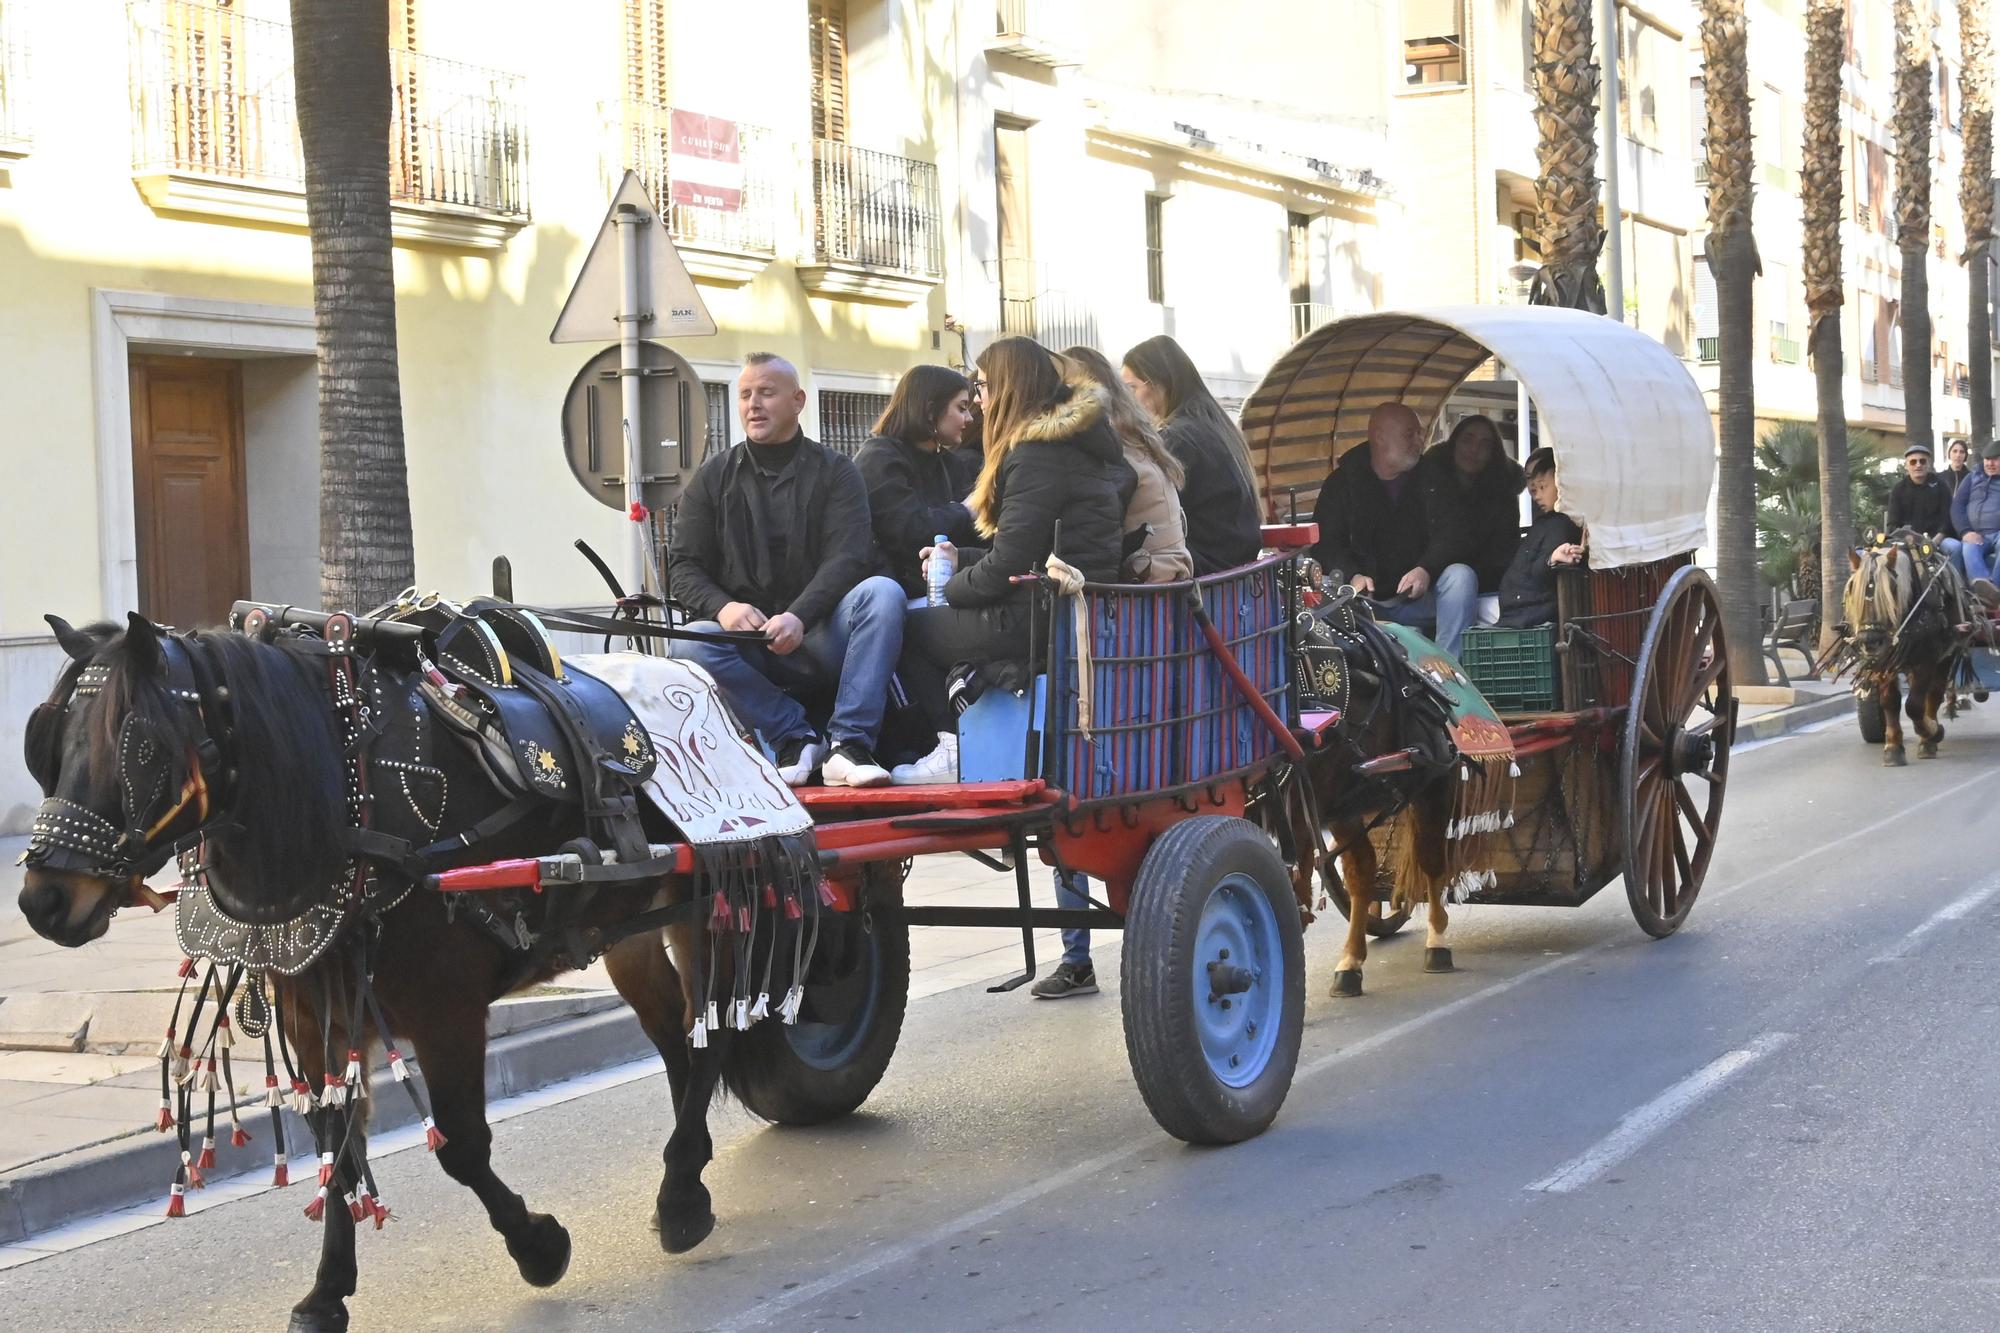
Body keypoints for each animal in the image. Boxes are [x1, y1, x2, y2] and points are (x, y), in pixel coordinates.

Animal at [15, 616, 832, 1328]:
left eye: (141, 748)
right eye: (45, 743)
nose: (42, 900)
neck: (348, 802)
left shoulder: (447, 1009)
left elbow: (462, 1147)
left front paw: (538, 1246)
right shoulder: (317, 1013)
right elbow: (336, 1147)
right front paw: (327, 1291)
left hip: (710, 896)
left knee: (712, 1034)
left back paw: (682, 1194)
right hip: (626, 923)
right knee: (676, 1035)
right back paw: (687, 1165)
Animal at [1840, 536, 1968, 764]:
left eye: (1892, 588)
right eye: (1852, 588)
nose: (1870, 641)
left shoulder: (1926, 660)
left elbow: (1914, 706)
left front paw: (1930, 734)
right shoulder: (1885, 661)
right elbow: (1890, 702)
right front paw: (1893, 746)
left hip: (1946, 654)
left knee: (1934, 694)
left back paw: (1931, 733)